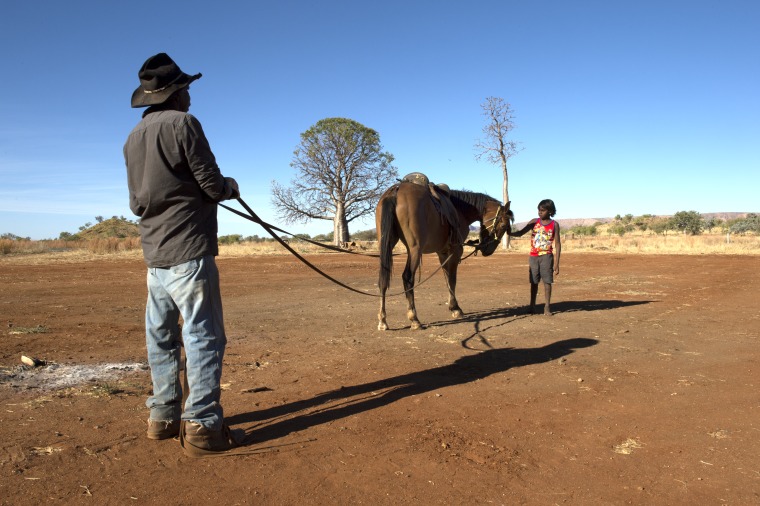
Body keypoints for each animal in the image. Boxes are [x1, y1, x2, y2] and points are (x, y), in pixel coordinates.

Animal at [378, 183, 512, 332]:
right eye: (503, 225)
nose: (489, 250)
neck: (460, 210)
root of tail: (396, 190)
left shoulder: (442, 252)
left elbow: (447, 278)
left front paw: (452, 306)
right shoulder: (456, 250)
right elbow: (452, 279)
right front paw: (456, 309)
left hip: (386, 245)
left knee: (383, 279)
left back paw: (383, 320)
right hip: (414, 250)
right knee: (407, 278)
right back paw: (414, 319)